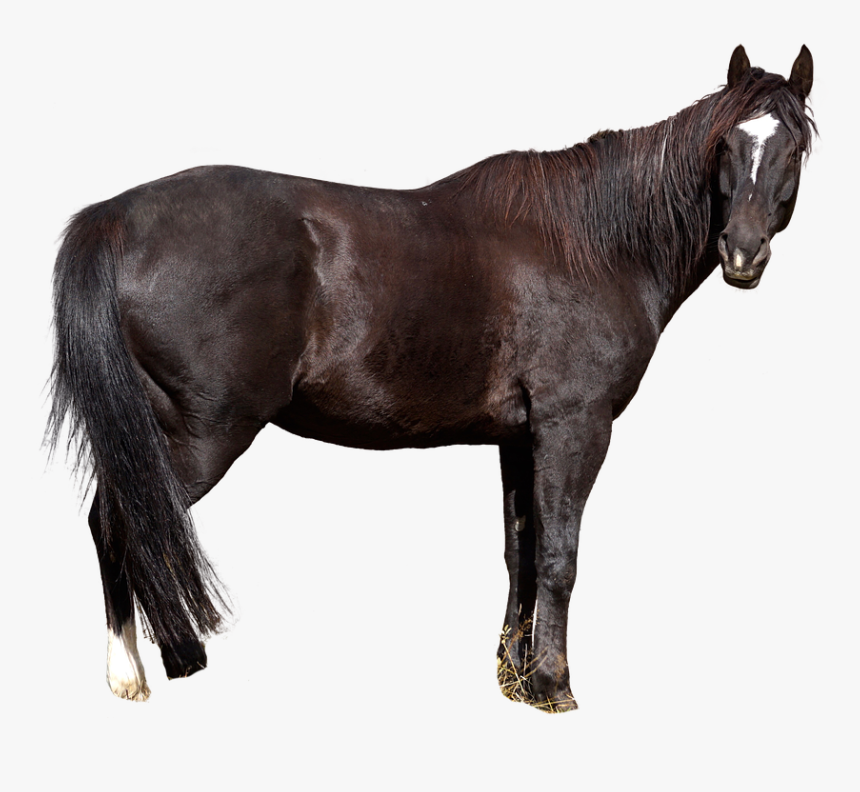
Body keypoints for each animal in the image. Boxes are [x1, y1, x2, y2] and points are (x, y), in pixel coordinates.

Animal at [49, 45, 815, 711]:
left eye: (795, 147)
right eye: (725, 146)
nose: (743, 253)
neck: (596, 244)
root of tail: (113, 220)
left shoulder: (519, 436)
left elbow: (520, 551)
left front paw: (514, 677)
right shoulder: (574, 425)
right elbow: (559, 553)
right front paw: (554, 686)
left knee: (117, 522)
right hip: (202, 433)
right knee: (125, 522)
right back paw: (135, 672)